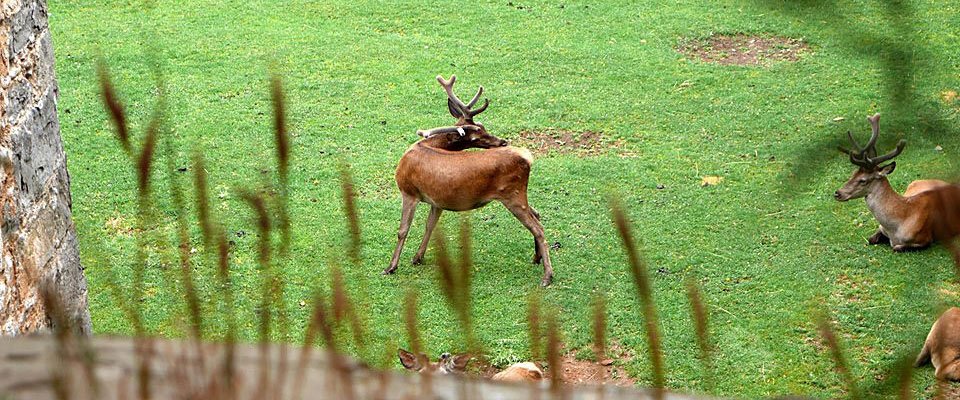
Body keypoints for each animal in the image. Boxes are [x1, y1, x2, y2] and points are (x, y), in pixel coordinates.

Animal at [382, 75, 556, 286]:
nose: (502, 142)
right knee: (537, 214)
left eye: (483, 128)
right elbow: (430, 226)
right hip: (518, 194)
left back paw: (547, 276)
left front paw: (391, 267)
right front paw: (417, 257)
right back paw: (536, 258)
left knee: (538, 228)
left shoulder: (408, 191)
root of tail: (527, 157)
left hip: (512, 194)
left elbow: (403, 230)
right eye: (477, 133)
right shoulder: (437, 201)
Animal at [832, 113, 960, 250]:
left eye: (863, 180)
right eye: (853, 174)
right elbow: (871, 239)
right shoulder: (881, 228)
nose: (837, 193)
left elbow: (897, 248)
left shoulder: (925, 238)